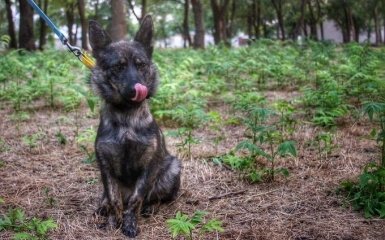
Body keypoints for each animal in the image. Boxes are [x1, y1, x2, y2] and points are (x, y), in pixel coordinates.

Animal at [88, 15, 182, 237]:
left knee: (156, 197)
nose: (137, 89)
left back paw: (151, 207)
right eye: (118, 67)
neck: (127, 118)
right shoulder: (105, 166)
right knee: (106, 197)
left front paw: (129, 223)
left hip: (172, 169)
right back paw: (102, 207)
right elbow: (114, 199)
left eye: (141, 65)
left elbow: (136, 198)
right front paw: (113, 221)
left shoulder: (149, 165)